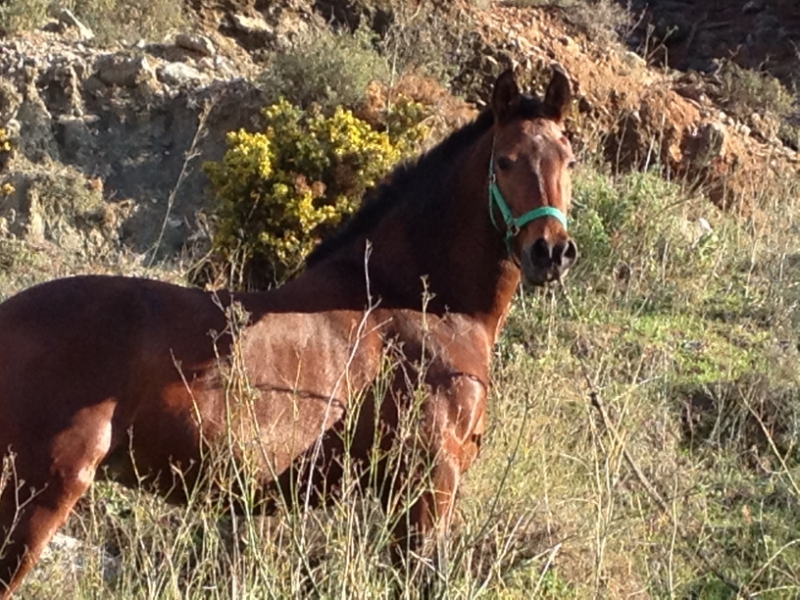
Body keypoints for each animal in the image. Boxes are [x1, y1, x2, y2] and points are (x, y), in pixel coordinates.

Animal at [0, 67, 577, 597]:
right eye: (504, 161)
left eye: (568, 159)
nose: (550, 252)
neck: (414, 302)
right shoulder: (426, 485)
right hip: (40, 493)